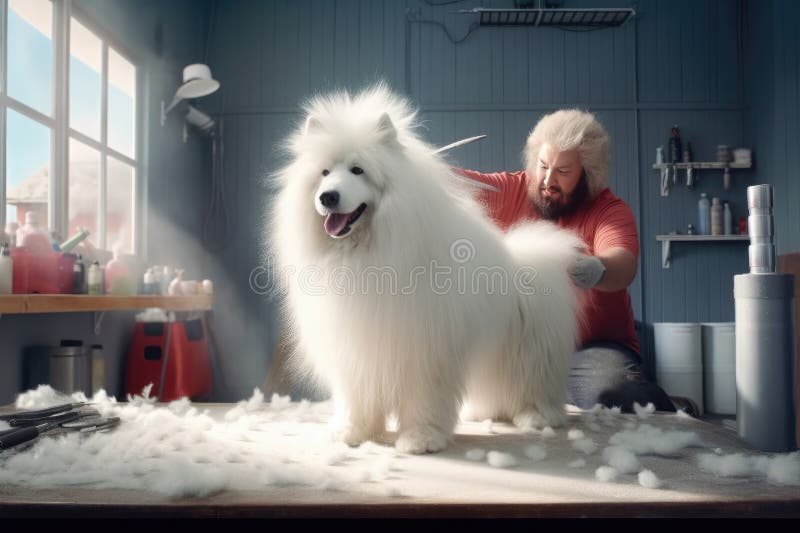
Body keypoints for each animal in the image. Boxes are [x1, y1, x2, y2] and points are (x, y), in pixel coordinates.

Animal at [272, 85, 584, 450]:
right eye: (324, 173)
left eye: (358, 170)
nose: (328, 197)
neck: (369, 253)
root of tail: (529, 257)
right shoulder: (356, 349)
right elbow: (357, 397)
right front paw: (353, 432)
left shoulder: (425, 350)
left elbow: (423, 398)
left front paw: (421, 439)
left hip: (530, 353)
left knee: (534, 385)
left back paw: (537, 417)